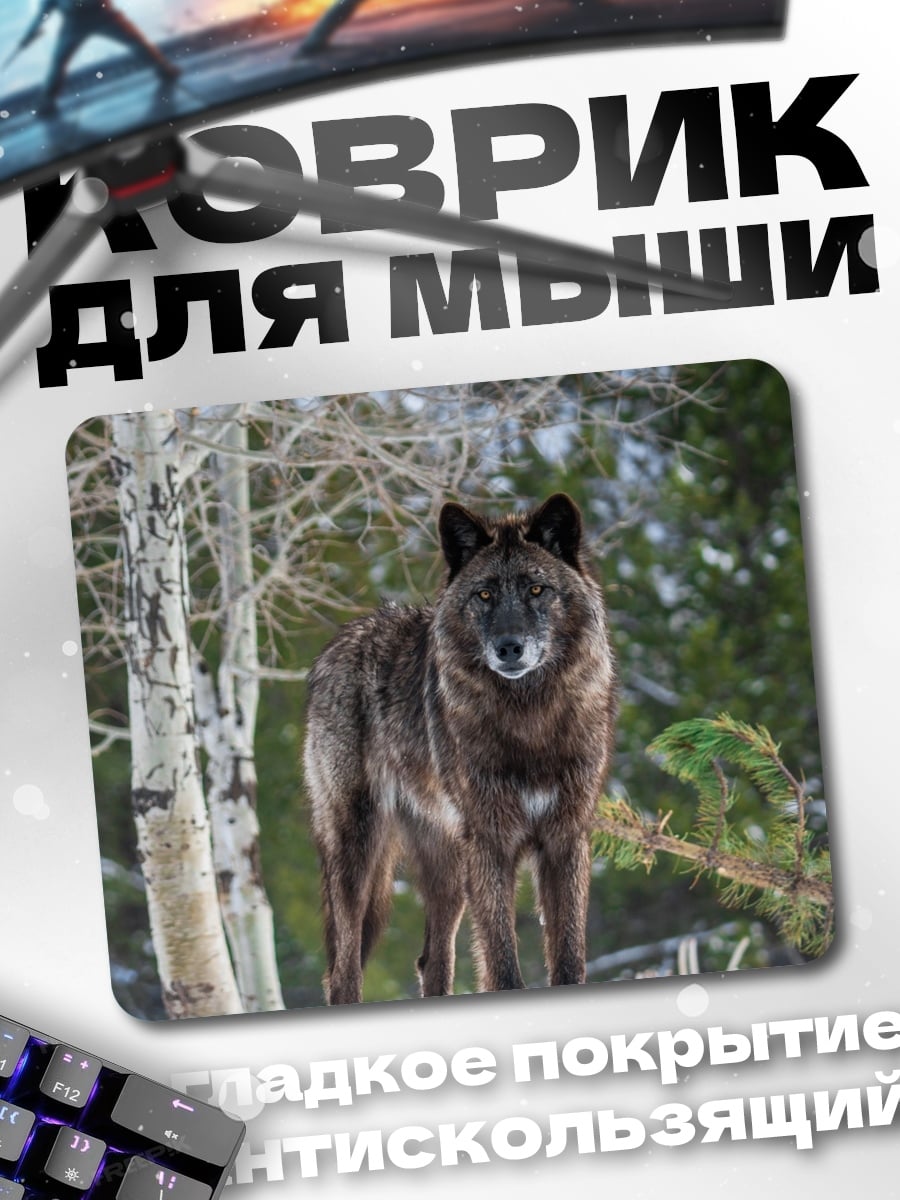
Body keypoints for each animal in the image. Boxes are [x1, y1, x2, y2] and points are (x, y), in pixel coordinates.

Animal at [304, 493, 617, 1004]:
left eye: (536, 590)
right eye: (484, 595)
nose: (509, 647)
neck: (529, 722)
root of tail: (345, 637)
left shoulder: (566, 838)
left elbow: (569, 957)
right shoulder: (490, 841)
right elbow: (502, 963)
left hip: (449, 867)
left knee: (431, 960)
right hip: (357, 847)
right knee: (343, 970)